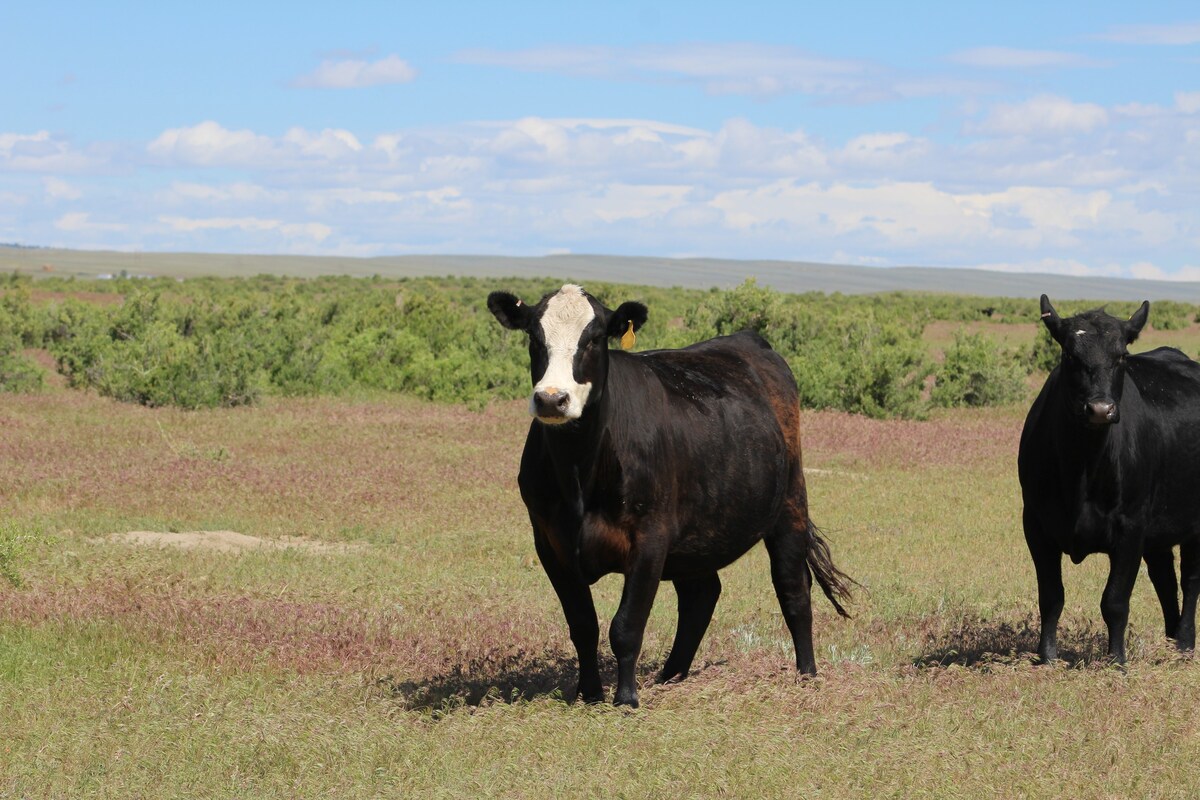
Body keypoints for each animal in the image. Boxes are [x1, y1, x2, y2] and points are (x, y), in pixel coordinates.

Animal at [487, 283, 854, 705]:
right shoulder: (549, 541)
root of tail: (748, 340)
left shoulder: (650, 536)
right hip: (698, 532)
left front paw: (626, 699)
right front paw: (590, 693)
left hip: (790, 501)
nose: (551, 399)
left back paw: (806, 673)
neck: (579, 472)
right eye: (534, 336)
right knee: (701, 594)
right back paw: (672, 676)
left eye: (594, 338)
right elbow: (583, 625)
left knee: (792, 587)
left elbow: (626, 625)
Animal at [1022, 293, 1200, 662]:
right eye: (1070, 355)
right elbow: (1051, 596)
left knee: (1190, 579)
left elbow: (1115, 600)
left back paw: (1184, 643)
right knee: (1164, 577)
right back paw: (1170, 638)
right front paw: (1047, 656)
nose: (1100, 409)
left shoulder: (1130, 525)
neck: (1081, 468)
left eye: (1121, 356)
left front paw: (1116, 660)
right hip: (1159, 530)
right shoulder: (1035, 523)